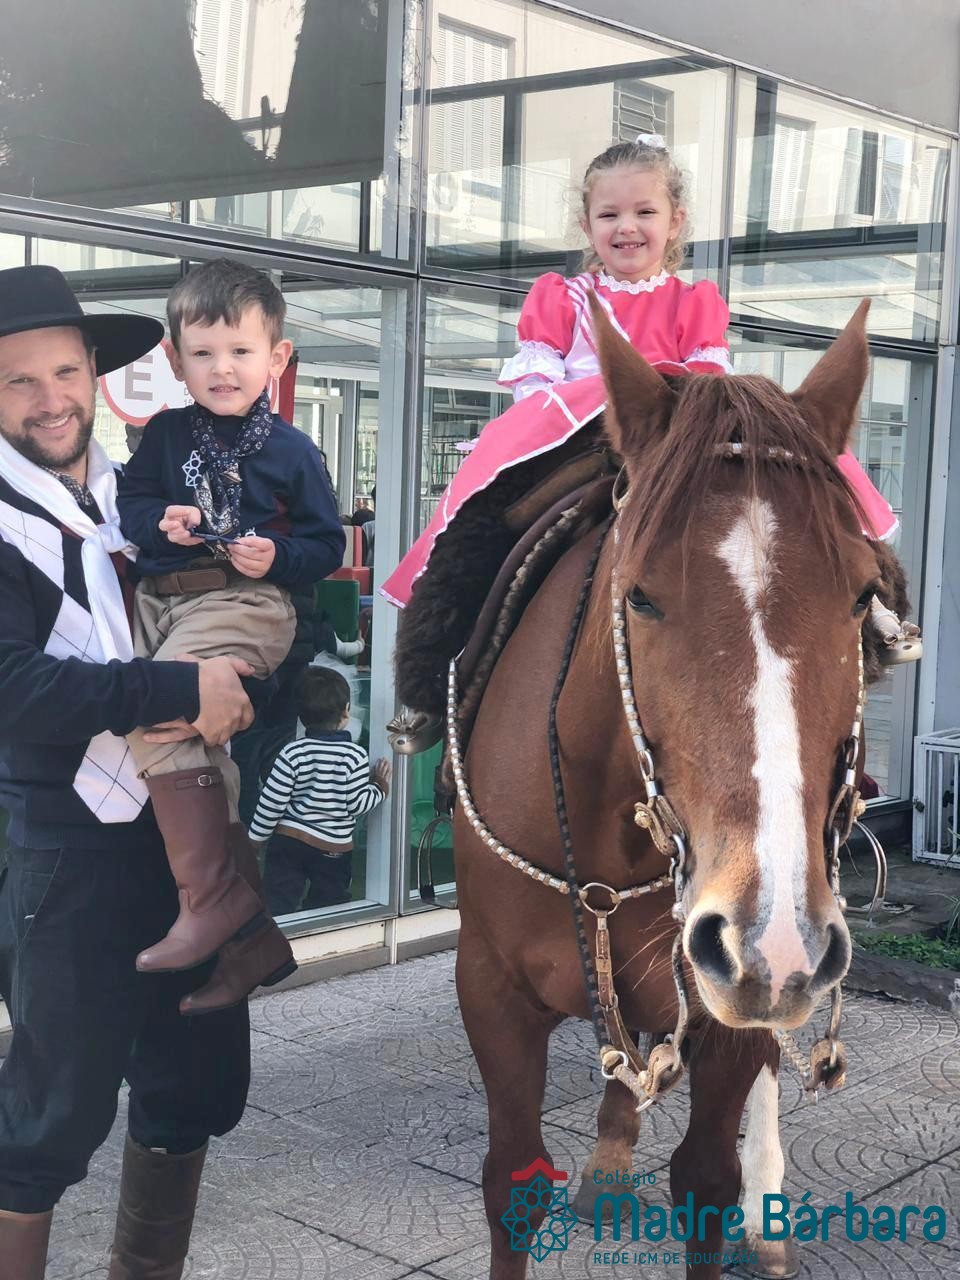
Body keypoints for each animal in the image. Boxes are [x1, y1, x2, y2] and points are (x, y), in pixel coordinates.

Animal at [451, 299, 889, 1280]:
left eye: (860, 597)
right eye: (640, 596)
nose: (768, 934)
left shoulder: (740, 995)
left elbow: (706, 1178)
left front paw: (745, 1197)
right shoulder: (491, 989)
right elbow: (512, 1182)